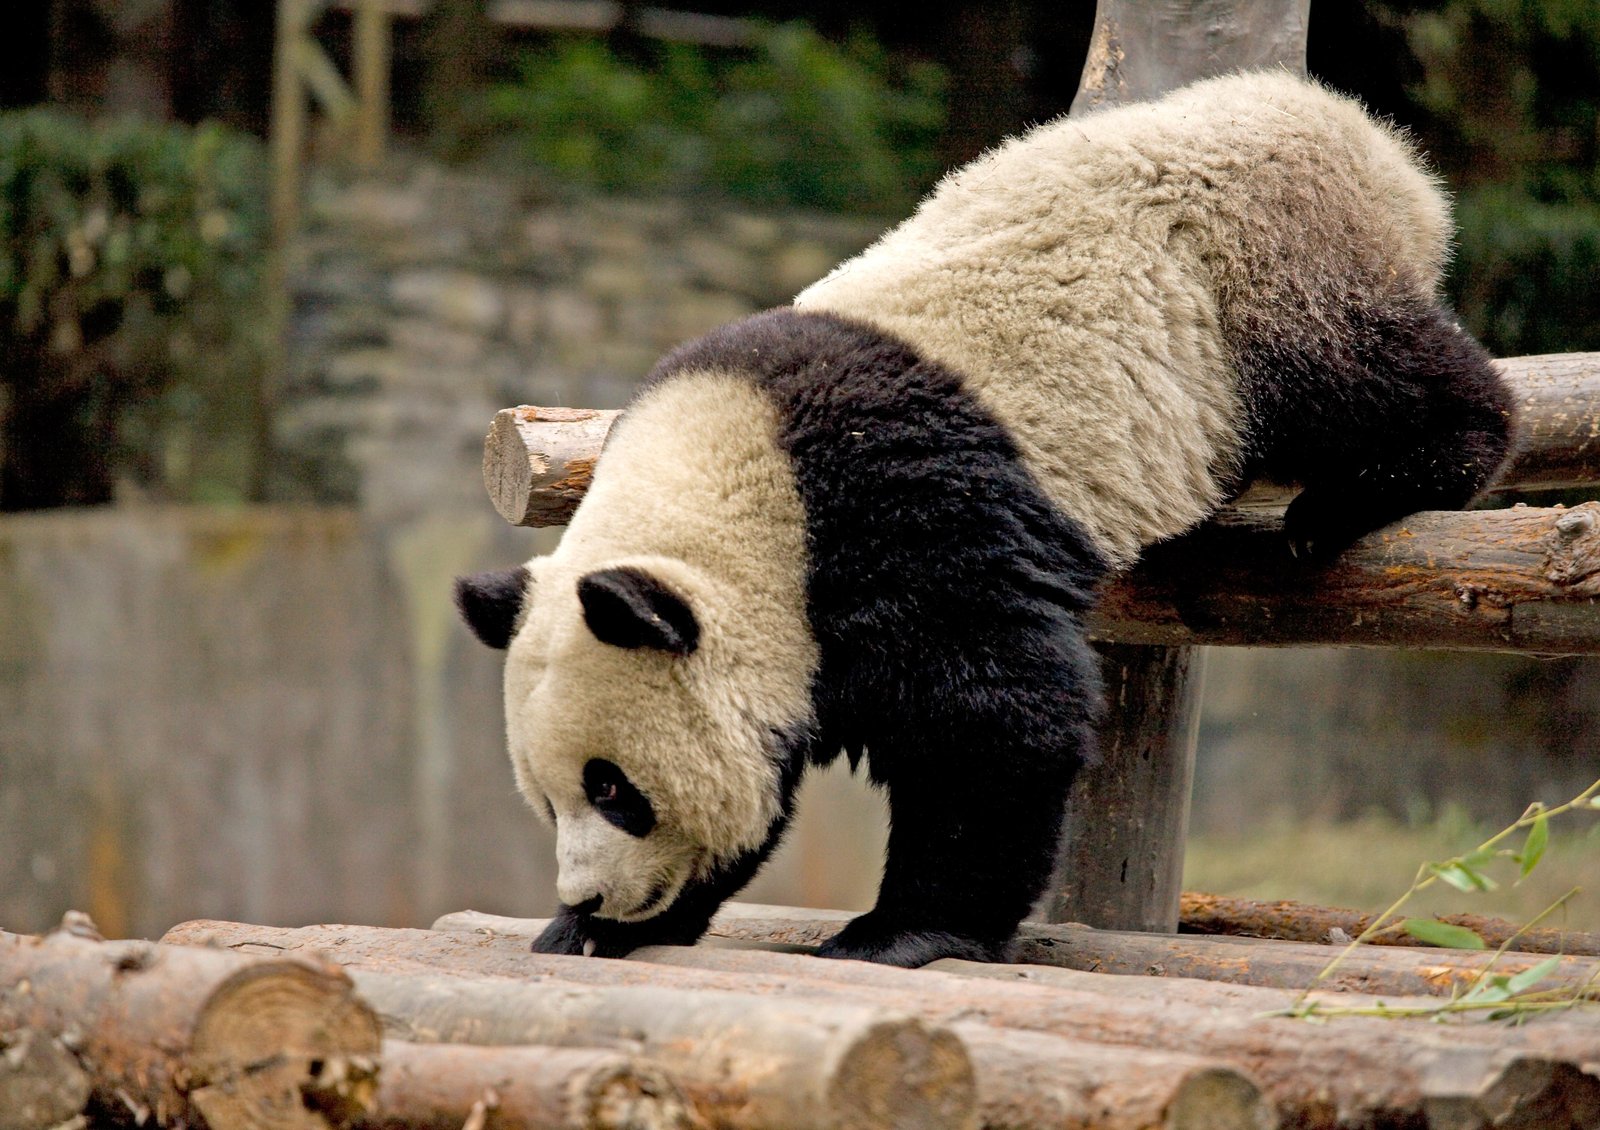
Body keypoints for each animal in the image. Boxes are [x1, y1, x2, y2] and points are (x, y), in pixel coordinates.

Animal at [456, 72, 1515, 968]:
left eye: (612, 789)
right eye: (547, 799)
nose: (591, 898)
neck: (745, 479)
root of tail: (1361, 134)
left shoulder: (901, 511)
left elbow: (992, 719)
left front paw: (901, 932)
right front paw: (600, 930)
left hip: (1260, 274)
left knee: (1368, 373)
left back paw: (1371, 487)